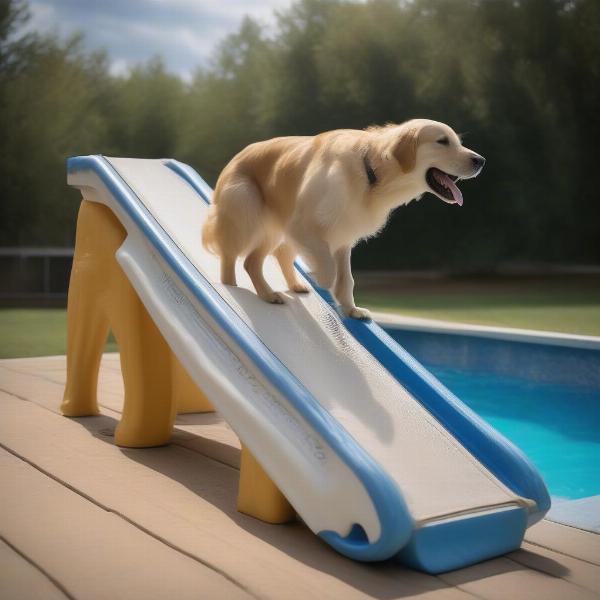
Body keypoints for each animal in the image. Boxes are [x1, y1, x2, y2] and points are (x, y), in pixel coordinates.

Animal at [204, 119, 486, 322]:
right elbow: (329, 270)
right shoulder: (302, 226)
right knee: (239, 259)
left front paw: (351, 308)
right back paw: (248, 290)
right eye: (442, 141)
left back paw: (290, 287)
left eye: (458, 142)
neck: (371, 172)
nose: (481, 160)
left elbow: (346, 278)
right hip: (252, 212)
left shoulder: (343, 237)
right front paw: (323, 281)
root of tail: (235, 158)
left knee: (268, 257)